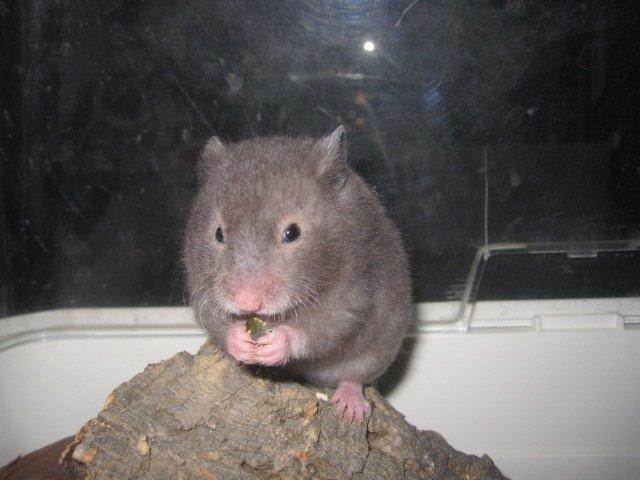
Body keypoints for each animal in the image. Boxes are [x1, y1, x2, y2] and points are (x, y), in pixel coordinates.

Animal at [183, 126, 412, 422]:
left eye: (292, 232)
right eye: (218, 234)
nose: (247, 302)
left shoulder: (352, 294)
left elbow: (323, 327)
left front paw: (276, 343)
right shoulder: (201, 286)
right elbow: (216, 321)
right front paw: (241, 342)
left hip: (377, 352)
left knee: (355, 377)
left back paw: (350, 409)